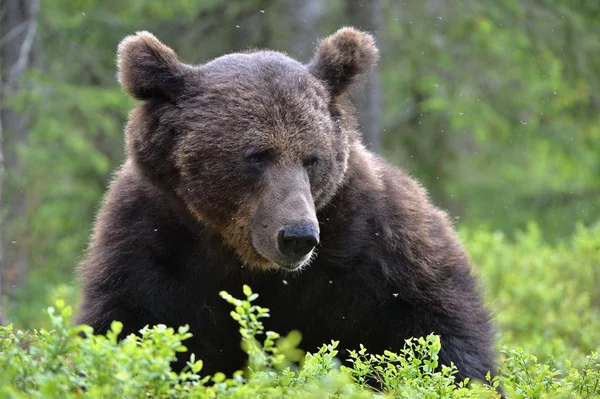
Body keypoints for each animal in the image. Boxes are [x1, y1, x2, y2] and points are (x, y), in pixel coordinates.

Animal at [75, 27, 496, 384]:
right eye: (257, 155)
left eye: (312, 158)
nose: (297, 236)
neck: (242, 257)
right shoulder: (151, 245)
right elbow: (125, 326)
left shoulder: (376, 246)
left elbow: (439, 336)